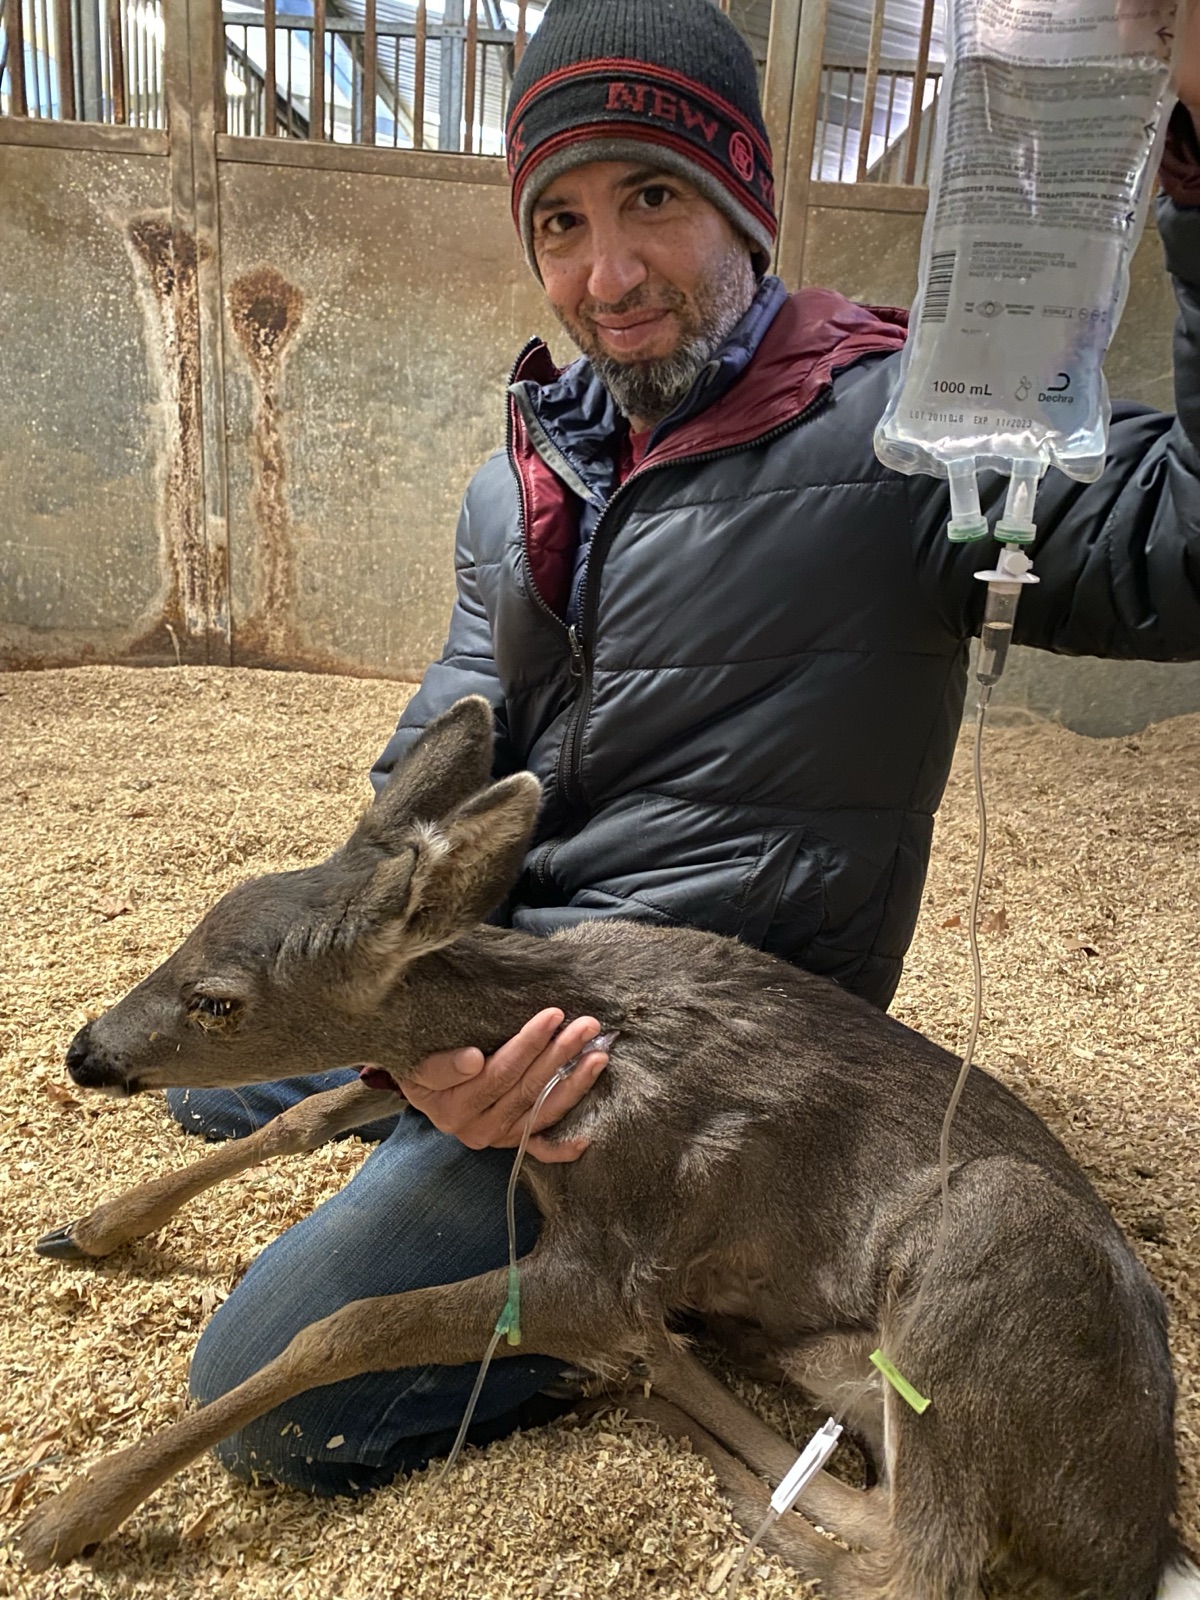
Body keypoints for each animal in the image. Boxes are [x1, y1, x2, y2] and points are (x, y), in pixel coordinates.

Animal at [17, 695, 1199, 1599]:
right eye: (191, 932)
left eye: (219, 1001)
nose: (87, 1053)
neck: (577, 1028)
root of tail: (1135, 1542)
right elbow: (306, 1113)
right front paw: (96, 1226)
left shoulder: (614, 1245)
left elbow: (343, 1328)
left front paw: (72, 1512)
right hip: (851, 1364)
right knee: (876, 1506)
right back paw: (677, 1401)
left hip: (988, 1242)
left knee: (920, 1565)